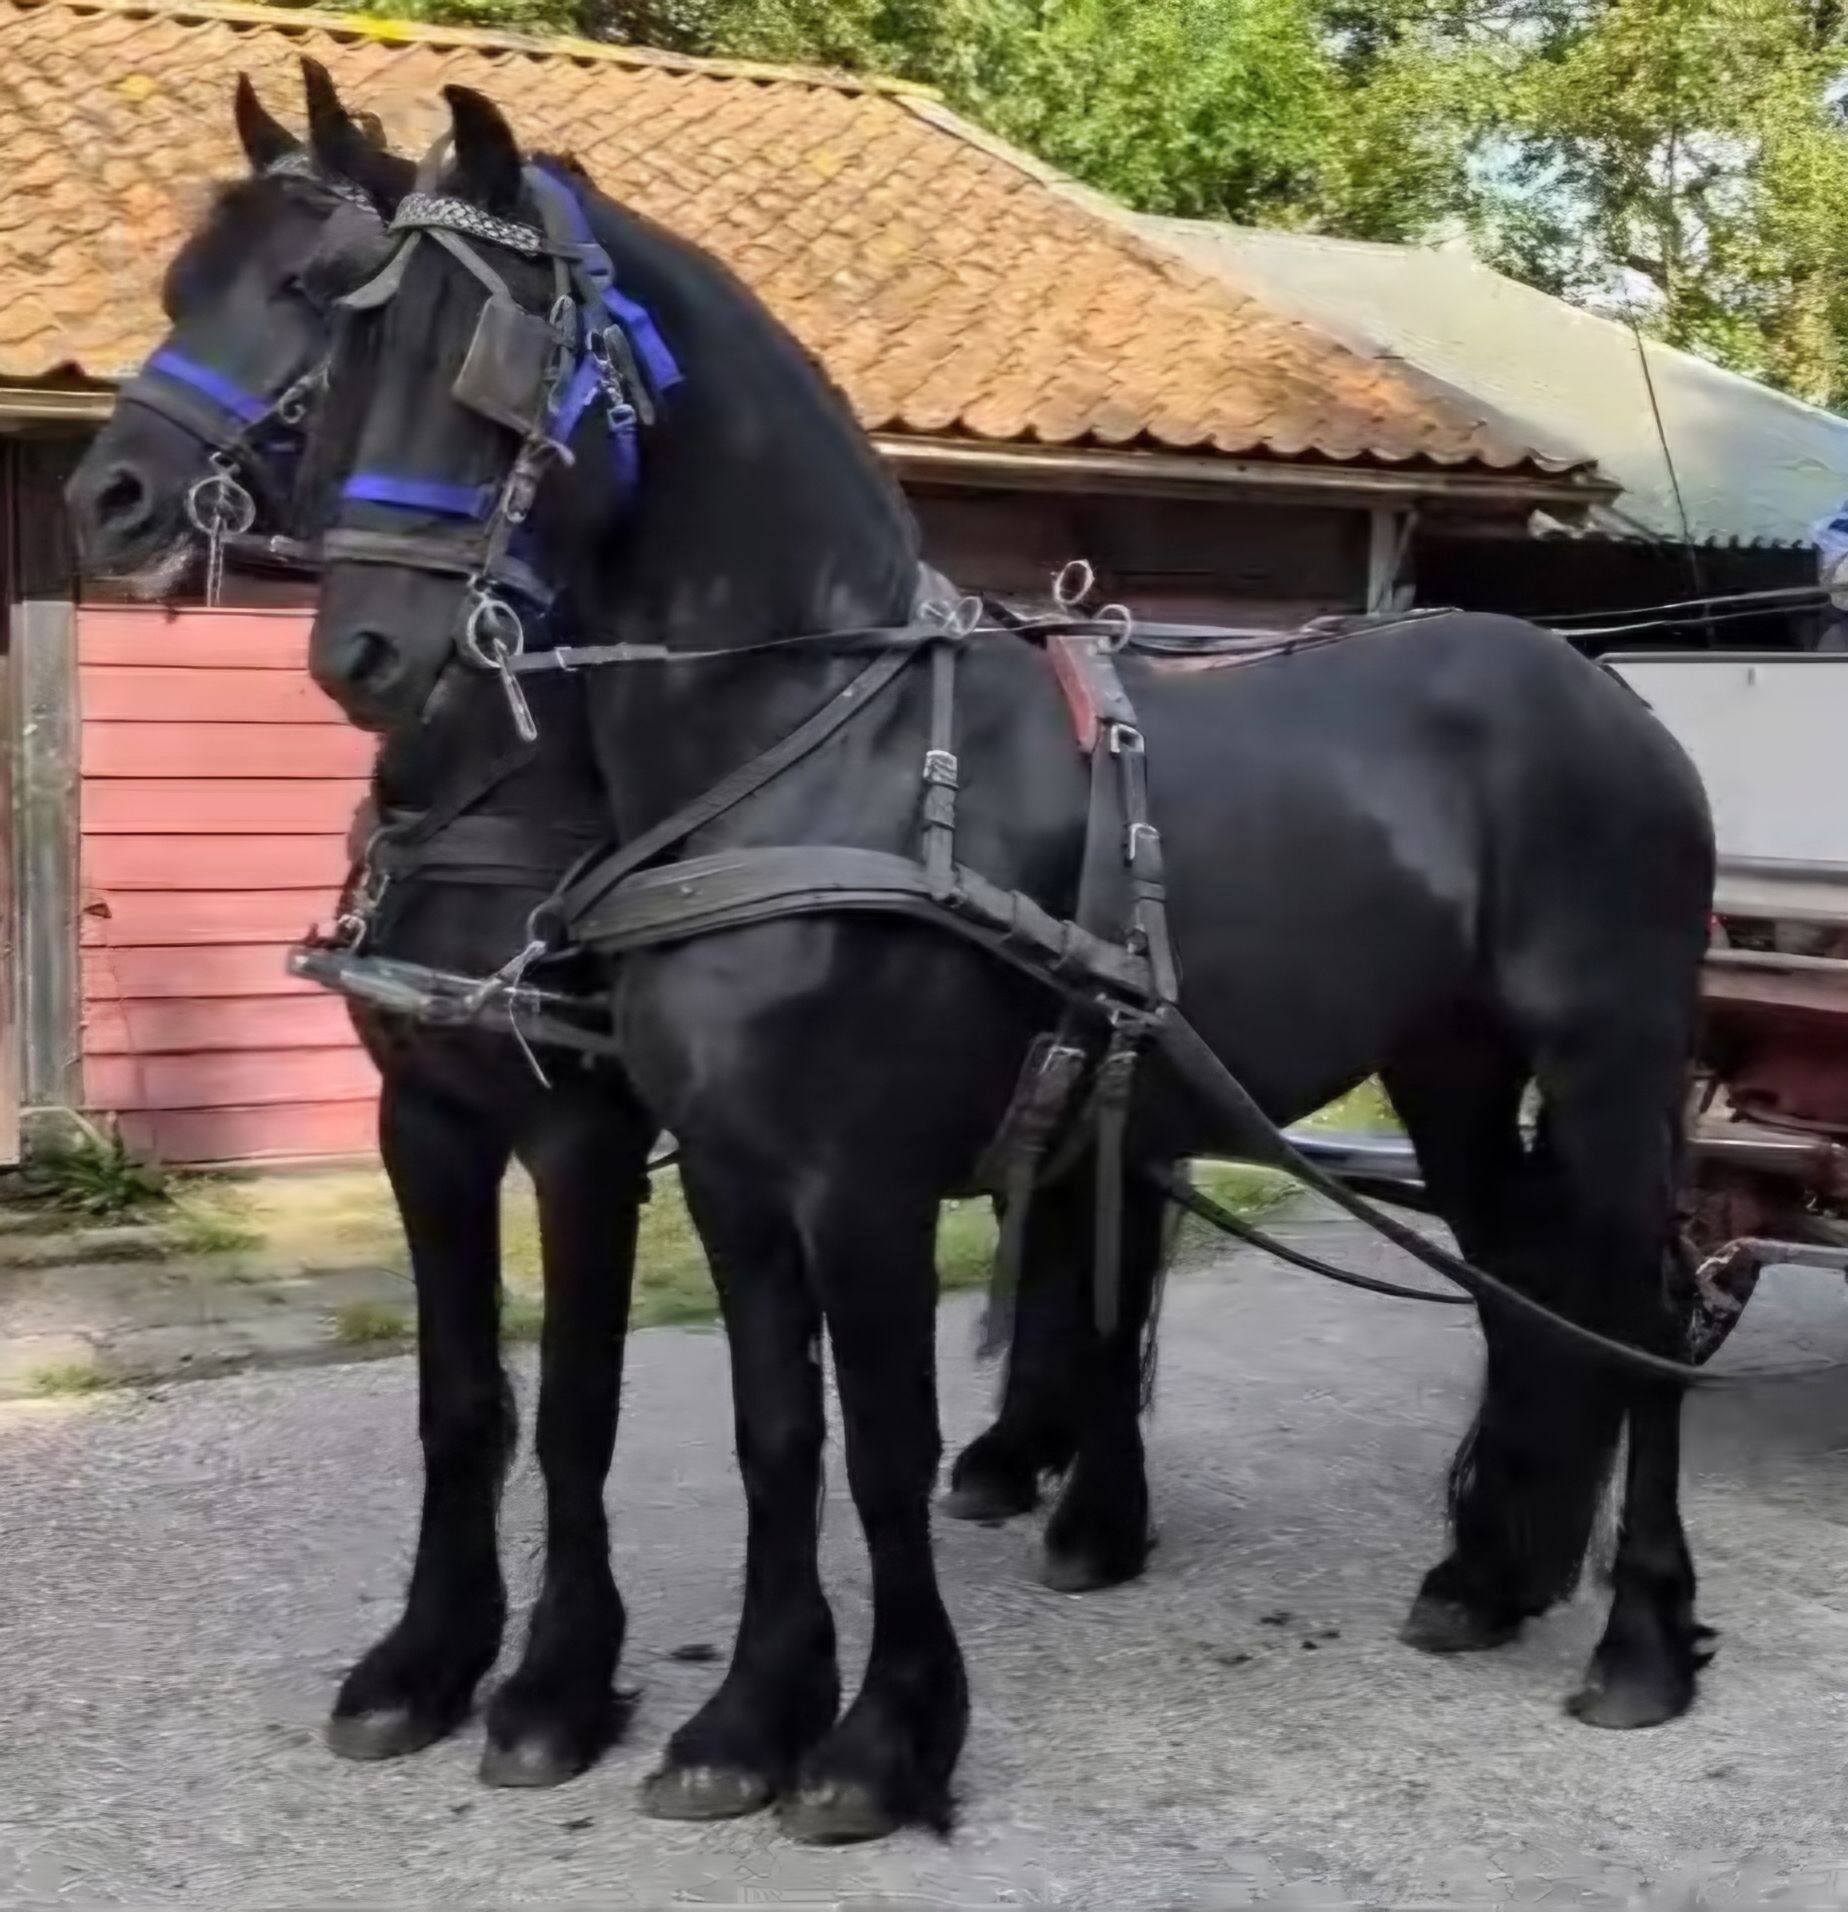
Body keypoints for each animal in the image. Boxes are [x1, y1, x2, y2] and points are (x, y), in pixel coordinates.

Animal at [65, 66, 656, 1790]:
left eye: (315, 294)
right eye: (179, 288)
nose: (101, 497)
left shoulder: (585, 1137)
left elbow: (579, 1404)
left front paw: (560, 1681)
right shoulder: (424, 1121)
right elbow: (461, 1399)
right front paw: (428, 1656)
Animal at [294, 84, 1719, 1843]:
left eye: (483, 361)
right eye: (346, 356)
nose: (363, 655)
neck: (812, 749)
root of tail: (1611, 696)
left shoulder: (864, 1181)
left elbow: (884, 1451)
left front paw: (879, 1742)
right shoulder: (734, 1177)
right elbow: (779, 1436)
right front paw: (746, 1722)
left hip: (1614, 1057)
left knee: (1640, 1309)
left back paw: (1642, 1637)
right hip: (1451, 1062)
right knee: (1524, 1285)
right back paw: (1490, 1575)